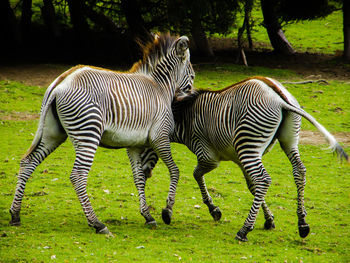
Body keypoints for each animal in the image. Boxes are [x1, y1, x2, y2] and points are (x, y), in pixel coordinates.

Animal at [9, 33, 196, 235]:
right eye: (191, 71)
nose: (191, 92)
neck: (160, 87)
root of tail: (61, 83)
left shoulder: (133, 145)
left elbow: (138, 178)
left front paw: (148, 216)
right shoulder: (160, 137)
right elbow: (175, 171)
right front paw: (167, 212)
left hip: (53, 133)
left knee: (28, 162)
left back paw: (15, 214)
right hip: (88, 132)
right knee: (78, 175)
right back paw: (97, 223)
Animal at [139, 76, 348, 241]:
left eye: (144, 144)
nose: (144, 173)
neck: (183, 119)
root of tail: (279, 99)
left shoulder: (208, 155)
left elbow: (197, 174)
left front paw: (208, 210)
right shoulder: (238, 159)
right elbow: (251, 186)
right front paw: (269, 219)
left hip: (248, 144)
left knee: (264, 179)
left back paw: (244, 230)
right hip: (285, 141)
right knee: (299, 171)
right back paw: (302, 224)